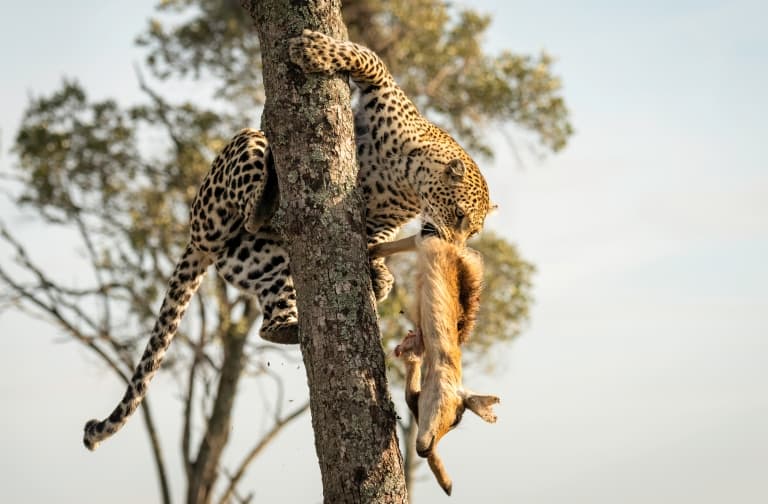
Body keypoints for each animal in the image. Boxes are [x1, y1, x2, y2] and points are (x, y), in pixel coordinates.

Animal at [84, 29, 492, 450]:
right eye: (460, 216)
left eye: (471, 230)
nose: (456, 246)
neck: (407, 178)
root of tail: (198, 241)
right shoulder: (386, 96)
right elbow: (369, 58)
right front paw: (311, 49)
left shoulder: (383, 219)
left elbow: (373, 239)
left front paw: (380, 274)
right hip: (238, 159)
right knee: (254, 180)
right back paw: (271, 191)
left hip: (264, 261)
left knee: (268, 316)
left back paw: (299, 325)